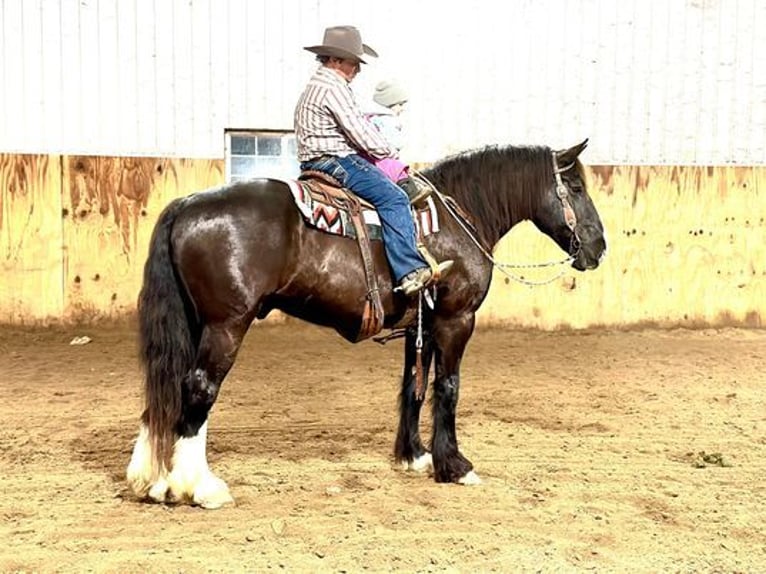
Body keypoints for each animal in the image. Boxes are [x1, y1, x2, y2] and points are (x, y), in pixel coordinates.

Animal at [127, 138, 608, 508]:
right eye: (575, 186)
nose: (599, 247)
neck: (459, 217)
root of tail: (186, 204)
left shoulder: (422, 324)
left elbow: (414, 385)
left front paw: (416, 457)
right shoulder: (456, 319)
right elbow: (448, 388)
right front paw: (455, 466)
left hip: (193, 323)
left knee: (168, 388)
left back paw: (154, 480)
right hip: (226, 325)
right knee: (199, 388)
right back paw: (200, 488)